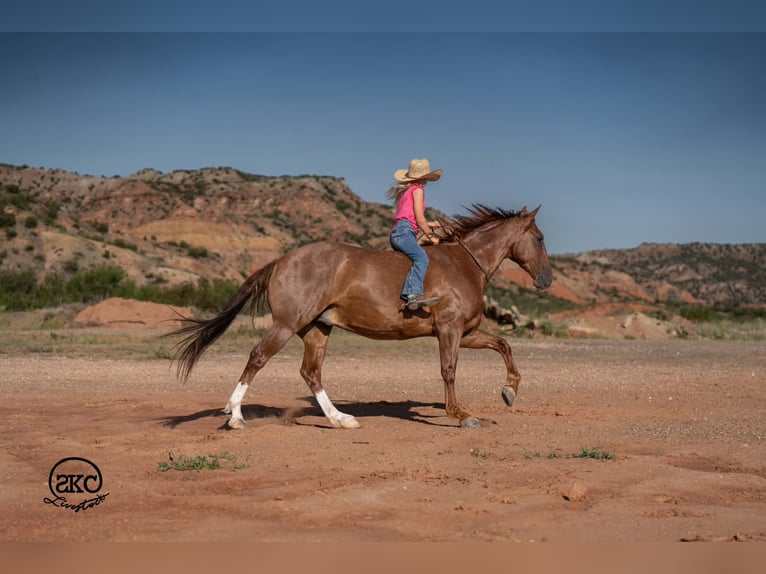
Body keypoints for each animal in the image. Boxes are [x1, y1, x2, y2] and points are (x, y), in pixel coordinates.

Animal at [167, 204, 553, 430]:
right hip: (287, 325)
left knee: (311, 372)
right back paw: (234, 416)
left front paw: (509, 391)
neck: (464, 264)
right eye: (539, 237)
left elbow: (503, 345)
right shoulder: (449, 328)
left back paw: (341, 419)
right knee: (258, 357)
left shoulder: (467, 331)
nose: (547, 280)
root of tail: (280, 260)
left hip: (317, 329)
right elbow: (449, 370)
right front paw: (461, 415)